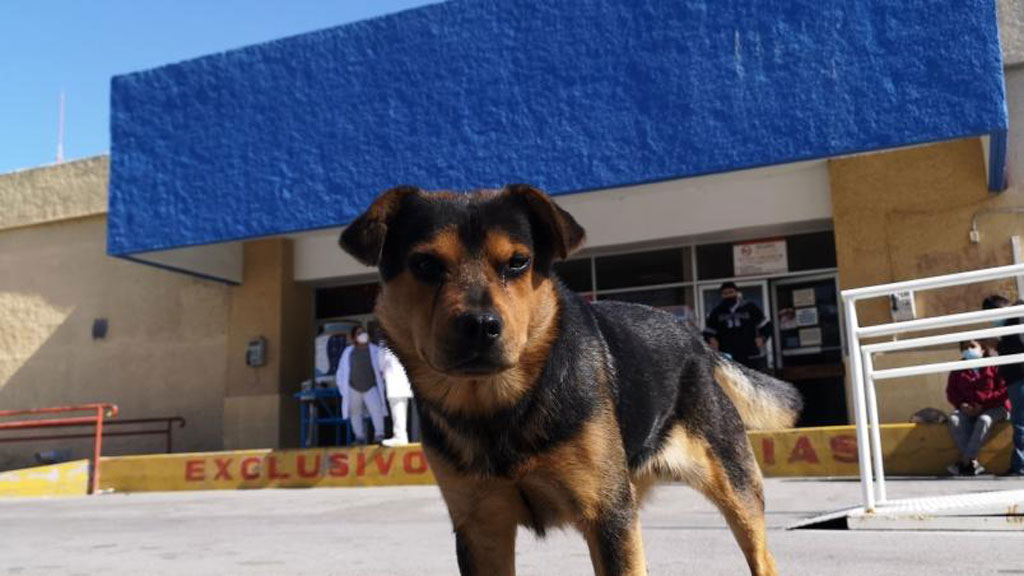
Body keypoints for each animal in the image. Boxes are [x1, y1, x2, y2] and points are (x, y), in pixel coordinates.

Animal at [339, 184, 802, 573]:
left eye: (518, 262)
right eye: (425, 264)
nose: (479, 326)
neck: (500, 404)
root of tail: (694, 338)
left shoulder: (608, 516)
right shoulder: (480, 528)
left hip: (735, 490)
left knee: (762, 556)